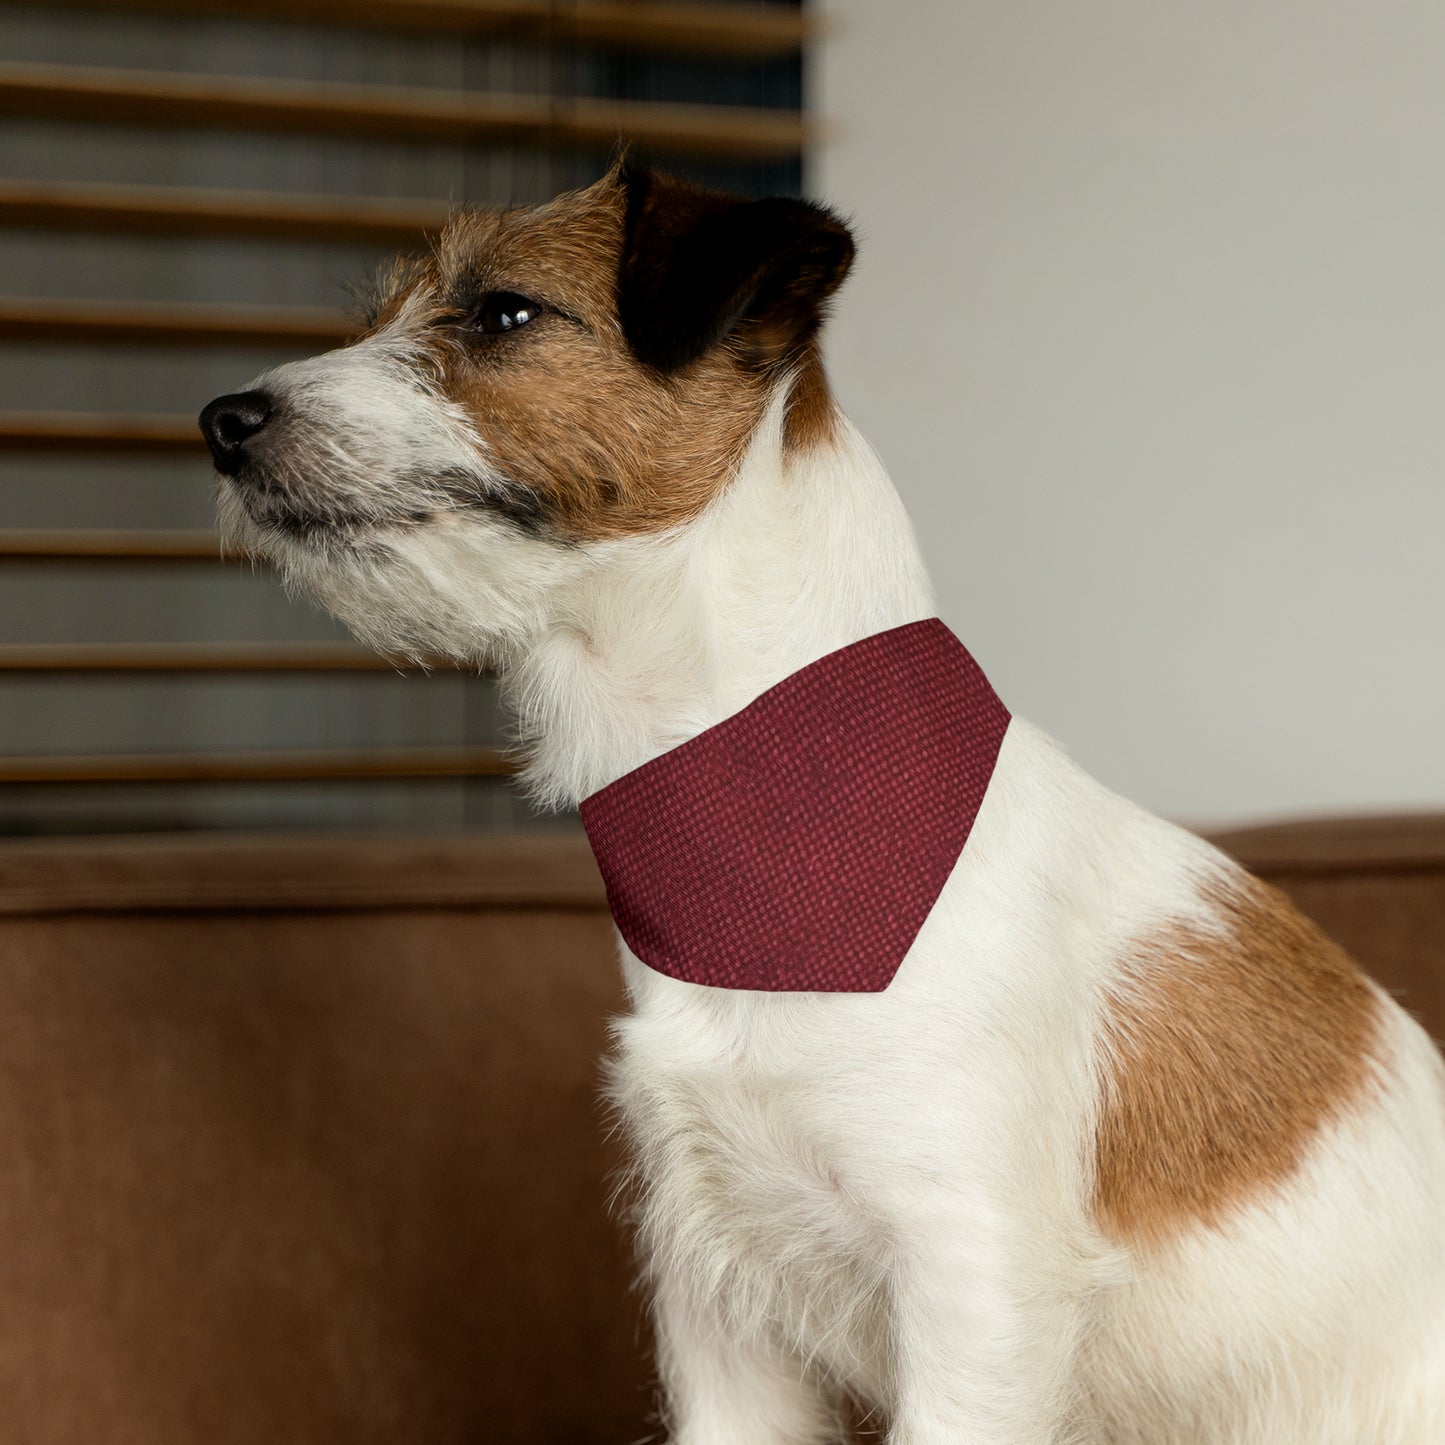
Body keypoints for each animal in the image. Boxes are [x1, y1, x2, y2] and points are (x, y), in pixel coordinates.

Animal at [195, 164, 1445, 1439]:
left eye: (502, 311)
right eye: (382, 313)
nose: (222, 421)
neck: (764, 819)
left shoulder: (972, 1289)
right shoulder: (717, 1302)